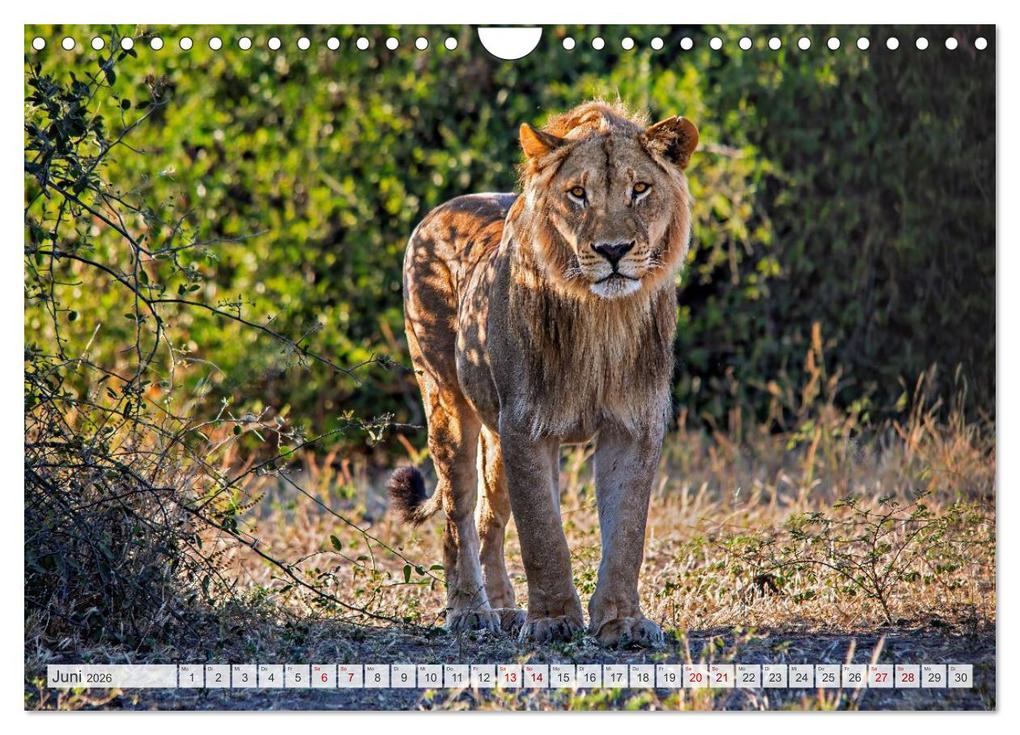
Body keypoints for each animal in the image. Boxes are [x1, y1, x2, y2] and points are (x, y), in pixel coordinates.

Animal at [388, 101, 698, 648]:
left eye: (640, 189)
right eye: (577, 194)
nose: (614, 250)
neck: (602, 317)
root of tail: (438, 210)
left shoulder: (634, 425)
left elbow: (627, 532)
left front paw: (622, 622)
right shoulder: (526, 427)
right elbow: (542, 534)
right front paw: (553, 620)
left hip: (495, 438)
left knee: (489, 519)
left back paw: (504, 608)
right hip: (446, 402)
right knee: (457, 516)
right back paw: (469, 611)